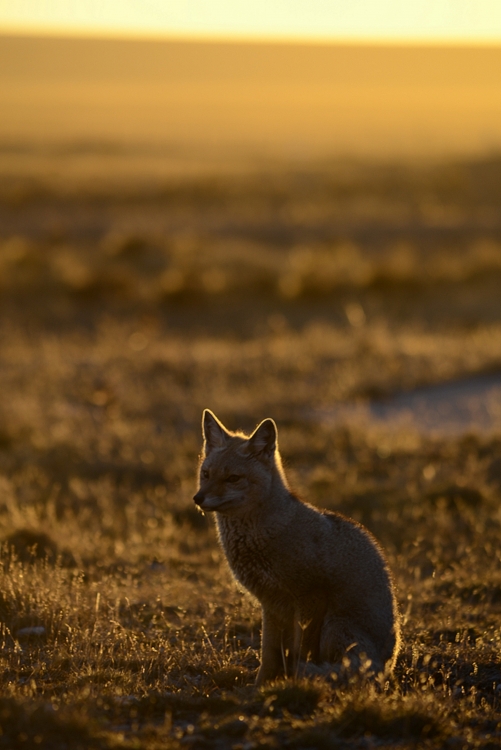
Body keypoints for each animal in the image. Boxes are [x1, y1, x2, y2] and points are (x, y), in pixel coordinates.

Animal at [193, 412, 400, 688]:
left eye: (233, 478)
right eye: (206, 474)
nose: (198, 498)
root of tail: (386, 667)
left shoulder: (310, 598)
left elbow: (301, 653)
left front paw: (294, 682)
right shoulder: (271, 604)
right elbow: (269, 654)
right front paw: (260, 688)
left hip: (335, 625)